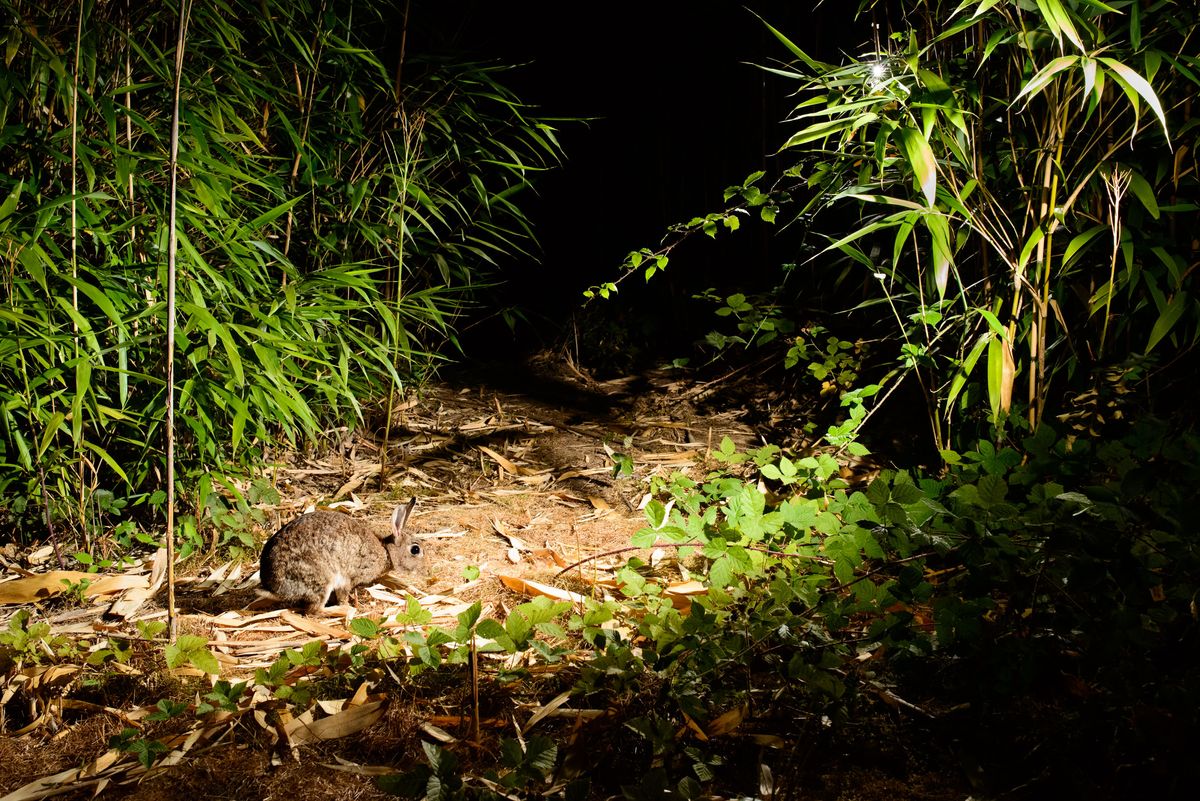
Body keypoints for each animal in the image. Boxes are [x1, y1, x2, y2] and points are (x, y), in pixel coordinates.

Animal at [259, 499, 425, 615]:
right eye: (415, 550)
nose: (425, 570)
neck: (387, 551)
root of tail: (274, 587)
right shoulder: (348, 578)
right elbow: (343, 596)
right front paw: (348, 606)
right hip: (321, 580)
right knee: (314, 611)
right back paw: (341, 611)